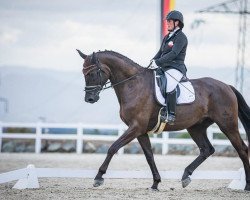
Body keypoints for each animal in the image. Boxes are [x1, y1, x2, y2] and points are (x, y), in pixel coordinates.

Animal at [76, 48, 250, 191]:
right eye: (84, 74)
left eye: (92, 73)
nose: (89, 99)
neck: (133, 84)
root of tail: (227, 86)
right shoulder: (140, 131)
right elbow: (149, 155)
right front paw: (155, 183)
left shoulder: (136, 127)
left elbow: (113, 148)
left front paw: (98, 177)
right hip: (196, 127)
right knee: (207, 149)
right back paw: (186, 176)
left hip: (227, 125)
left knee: (242, 149)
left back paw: (246, 185)